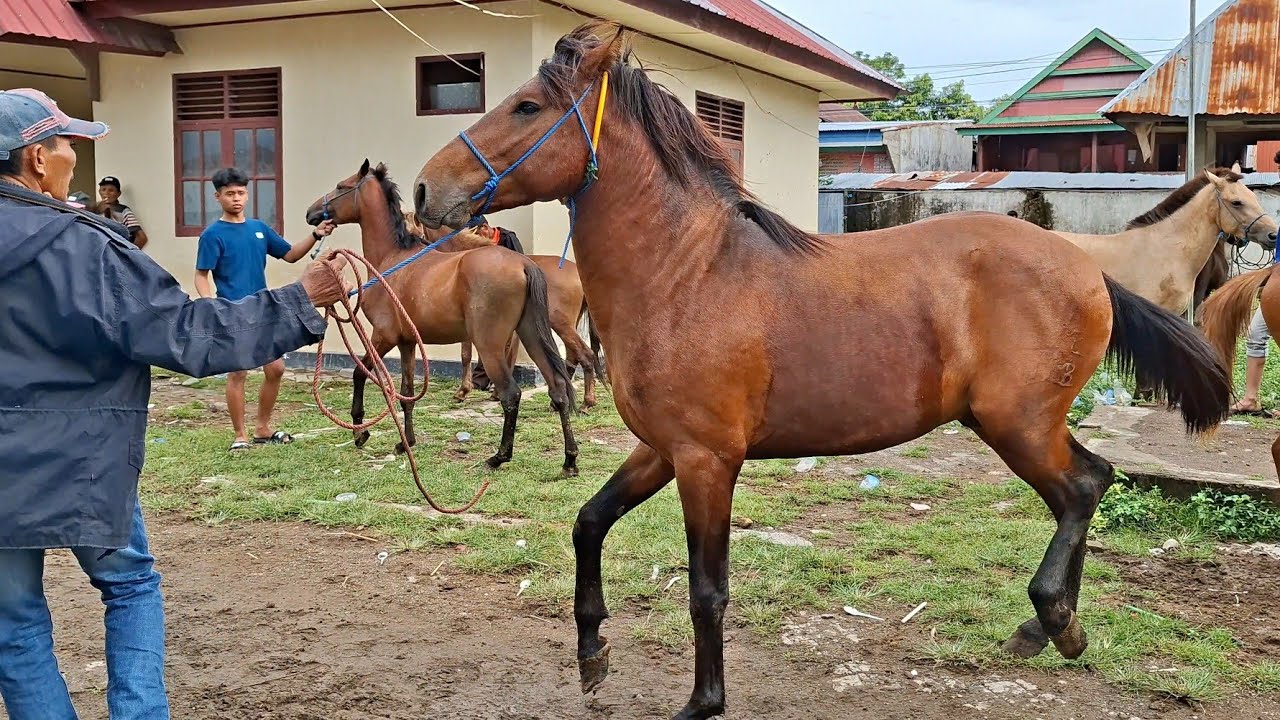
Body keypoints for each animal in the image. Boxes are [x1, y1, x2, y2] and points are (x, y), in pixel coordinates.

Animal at [303, 159, 580, 476]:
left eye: (341, 187)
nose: (311, 213)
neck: (392, 259)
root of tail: (524, 265)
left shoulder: (383, 336)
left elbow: (360, 374)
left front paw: (361, 432)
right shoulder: (407, 343)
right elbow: (407, 392)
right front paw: (405, 443)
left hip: (490, 346)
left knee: (511, 395)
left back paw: (499, 457)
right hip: (531, 335)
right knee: (558, 389)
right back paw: (570, 460)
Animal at [408, 217, 607, 409]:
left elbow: (467, 356)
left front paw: (463, 391)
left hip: (561, 324)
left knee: (586, 355)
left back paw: (587, 402)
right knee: (573, 356)